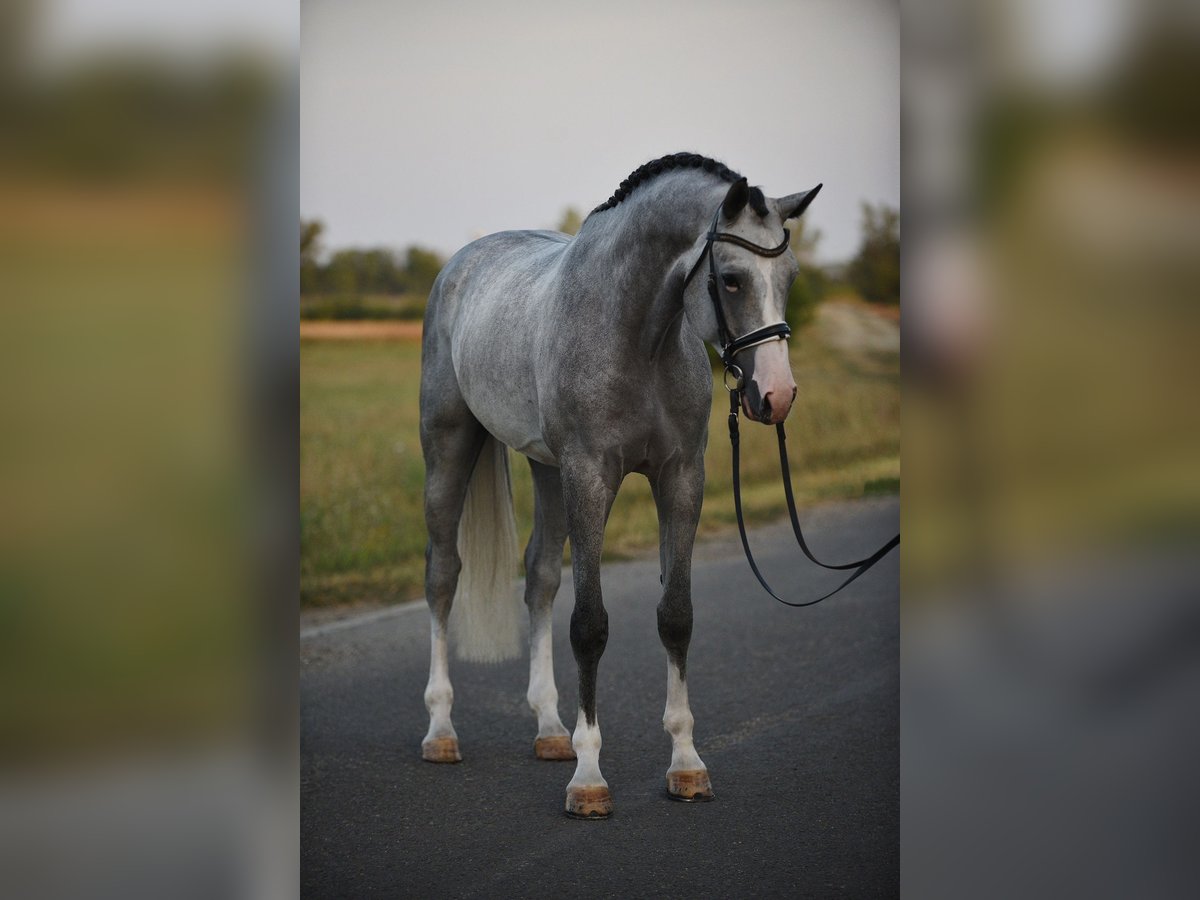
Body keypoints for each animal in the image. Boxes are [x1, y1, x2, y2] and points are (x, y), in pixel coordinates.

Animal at [417, 153, 820, 816]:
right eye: (732, 279)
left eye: (789, 275)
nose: (777, 395)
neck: (634, 334)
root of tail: (461, 263)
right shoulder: (589, 477)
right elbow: (589, 626)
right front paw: (588, 779)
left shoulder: (681, 479)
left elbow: (675, 616)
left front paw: (686, 764)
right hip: (449, 449)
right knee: (443, 576)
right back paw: (441, 731)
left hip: (546, 469)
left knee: (539, 576)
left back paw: (550, 730)